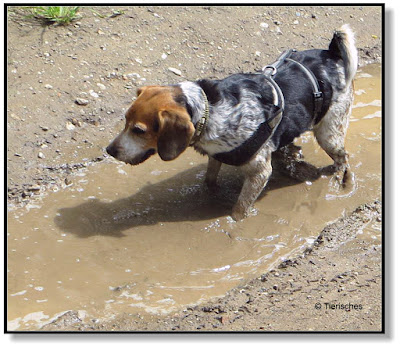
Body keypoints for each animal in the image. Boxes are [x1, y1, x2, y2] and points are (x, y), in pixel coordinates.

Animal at [105, 24, 356, 222]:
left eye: (139, 130)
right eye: (124, 120)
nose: (109, 150)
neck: (208, 108)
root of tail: (332, 53)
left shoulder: (259, 173)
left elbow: (239, 209)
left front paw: (232, 227)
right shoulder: (216, 155)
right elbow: (209, 180)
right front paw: (210, 195)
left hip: (329, 133)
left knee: (342, 158)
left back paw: (337, 182)